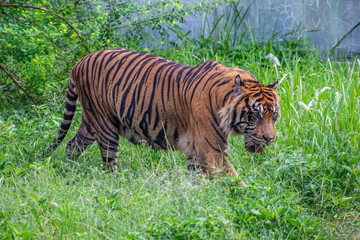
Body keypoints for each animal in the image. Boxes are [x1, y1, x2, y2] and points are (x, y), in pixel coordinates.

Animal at [43, 48, 280, 179]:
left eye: (274, 116)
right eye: (255, 115)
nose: (270, 139)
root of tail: (79, 62)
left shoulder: (195, 153)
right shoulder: (212, 152)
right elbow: (235, 182)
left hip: (90, 123)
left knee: (72, 145)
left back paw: (69, 169)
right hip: (104, 125)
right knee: (109, 164)